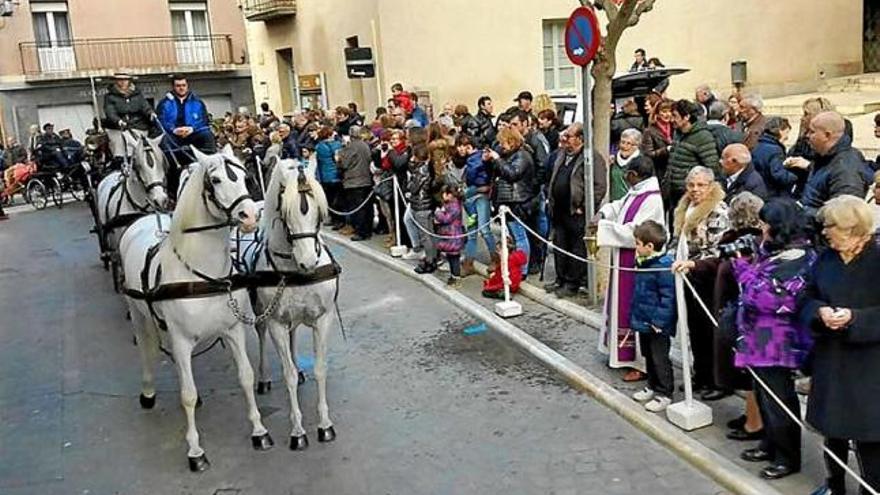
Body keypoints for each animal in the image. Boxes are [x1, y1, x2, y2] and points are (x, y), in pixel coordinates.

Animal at [118, 146, 272, 472]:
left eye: (244, 175)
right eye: (215, 180)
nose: (250, 215)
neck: (202, 273)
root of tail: (144, 220)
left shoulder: (232, 331)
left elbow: (246, 376)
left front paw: (259, 431)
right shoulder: (181, 339)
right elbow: (187, 395)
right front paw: (195, 451)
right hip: (139, 316)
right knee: (148, 351)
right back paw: (148, 391)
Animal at [249, 158, 342, 450]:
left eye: (318, 212)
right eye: (287, 212)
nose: (308, 262)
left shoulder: (323, 319)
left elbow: (321, 368)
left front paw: (325, 425)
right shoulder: (276, 322)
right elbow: (287, 374)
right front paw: (298, 431)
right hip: (261, 313)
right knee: (261, 334)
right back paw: (264, 378)